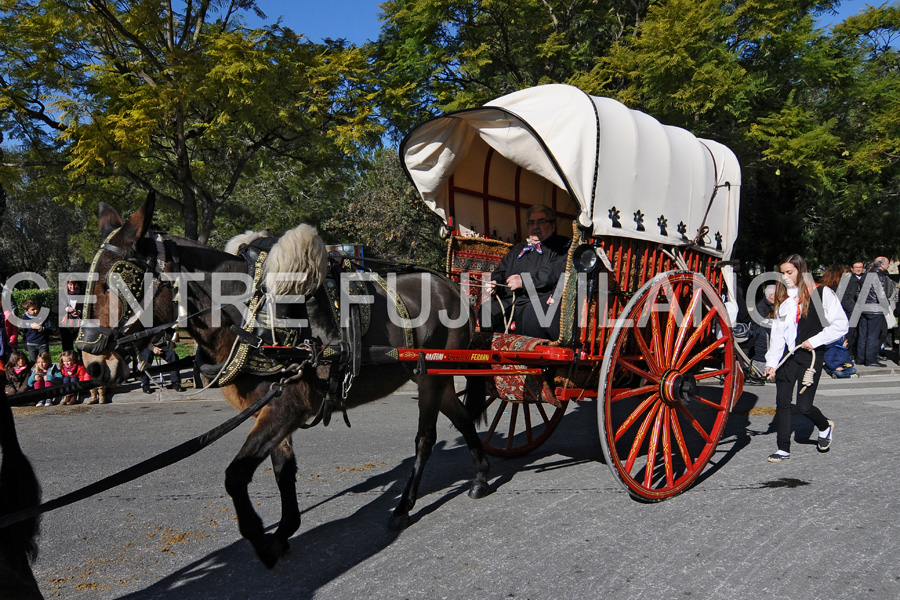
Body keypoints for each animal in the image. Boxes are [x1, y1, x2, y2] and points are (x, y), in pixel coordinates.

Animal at [80, 196, 488, 568]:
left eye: (119, 281)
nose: (92, 361)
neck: (249, 317)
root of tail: (448, 285)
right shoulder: (272, 407)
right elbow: (282, 469)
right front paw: (284, 530)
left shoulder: (287, 407)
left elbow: (236, 475)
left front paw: (261, 541)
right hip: (437, 378)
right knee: (462, 418)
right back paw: (480, 476)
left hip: (430, 377)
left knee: (425, 439)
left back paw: (404, 506)